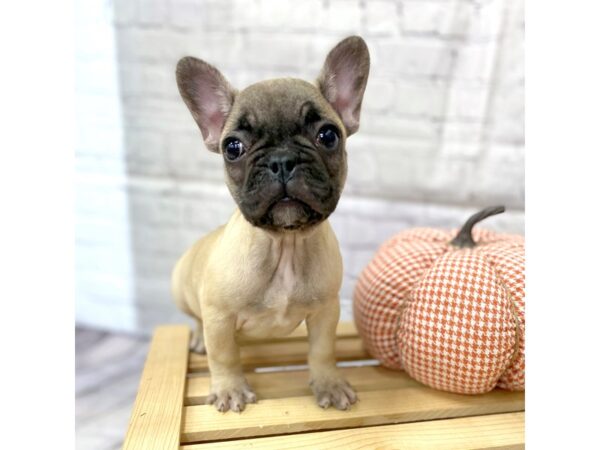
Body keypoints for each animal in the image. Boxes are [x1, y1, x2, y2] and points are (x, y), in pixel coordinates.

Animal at [172, 37, 370, 414]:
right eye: (233, 147)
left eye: (328, 135)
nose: (282, 160)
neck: (284, 244)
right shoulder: (218, 316)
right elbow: (224, 355)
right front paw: (230, 389)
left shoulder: (326, 312)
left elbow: (323, 351)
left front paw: (329, 384)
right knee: (197, 323)